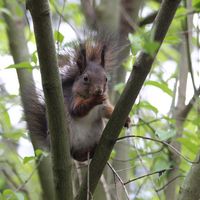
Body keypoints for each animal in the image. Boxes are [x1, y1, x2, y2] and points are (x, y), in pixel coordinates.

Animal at [28, 33, 130, 162]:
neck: (87, 95)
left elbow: (108, 111)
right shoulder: (74, 99)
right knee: (74, 154)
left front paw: (126, 119)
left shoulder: (104, 104)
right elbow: (77, 110)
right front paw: (94, 100)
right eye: (85, 78)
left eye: (106, 78)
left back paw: (91, 151)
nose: (99, 91)